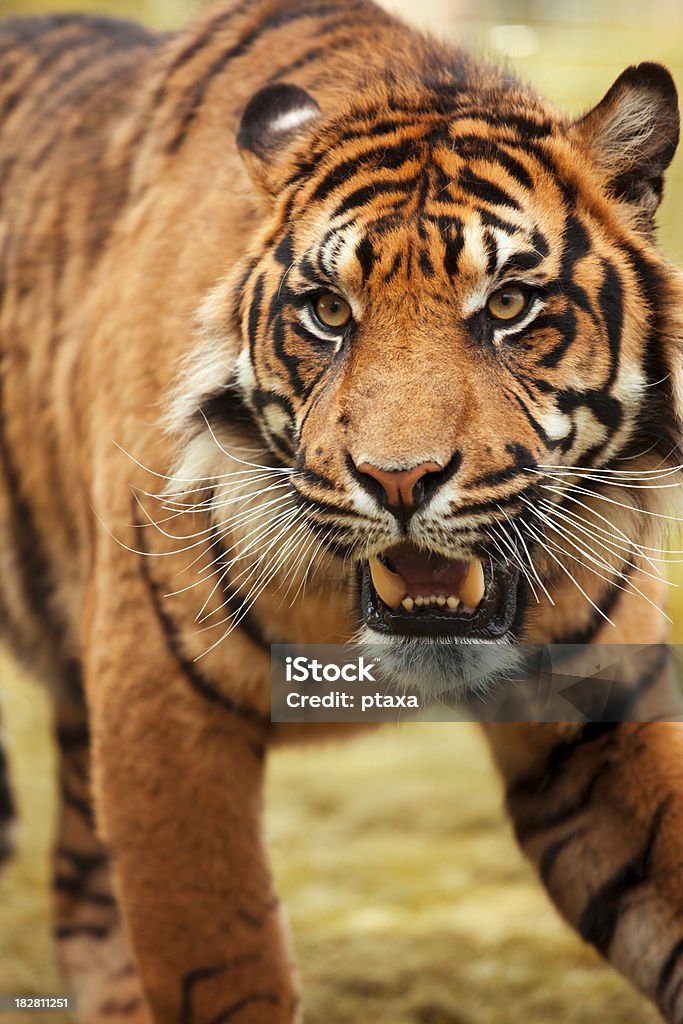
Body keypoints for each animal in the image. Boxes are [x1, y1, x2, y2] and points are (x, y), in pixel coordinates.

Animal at [1, 0, 683, 1019]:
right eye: (328, 312)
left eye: (509, 305)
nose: (398, 479)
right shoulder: (159, 704)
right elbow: (223, 964)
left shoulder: (599, 716)